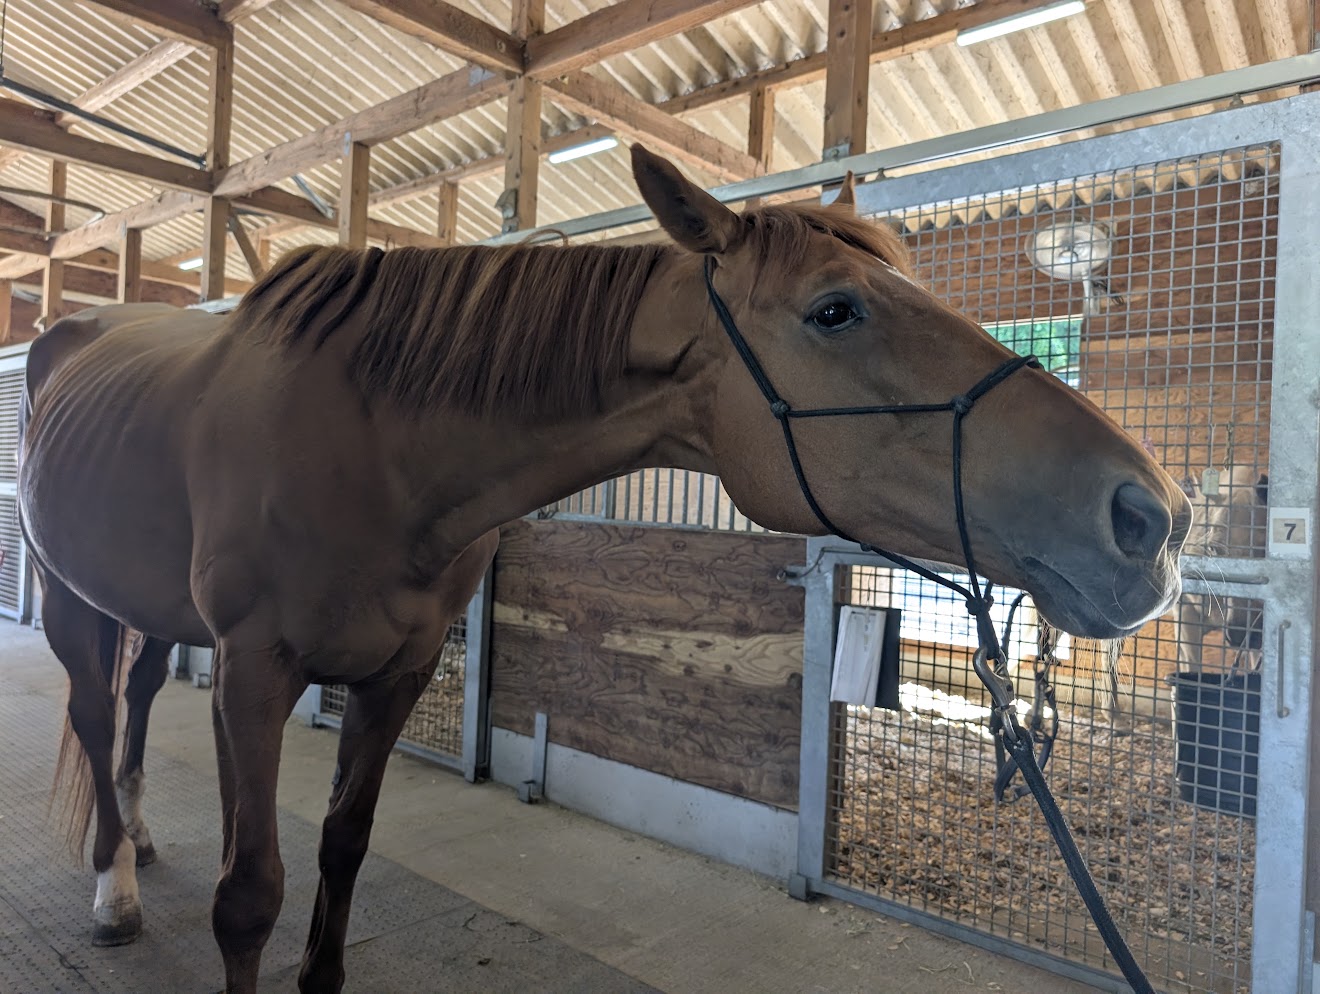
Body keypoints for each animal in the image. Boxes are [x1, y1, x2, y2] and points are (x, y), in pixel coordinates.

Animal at [16, 145, 1191, 994]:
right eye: (835, 309)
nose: (1152, 517)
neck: (369, 441)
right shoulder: (255, 675)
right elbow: (249, 894)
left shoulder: (395, 676)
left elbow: (342, 849)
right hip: (75, 603)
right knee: (93, 716)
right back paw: (114, 891)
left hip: (150, 612)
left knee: (130, 712)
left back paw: (138, 843)